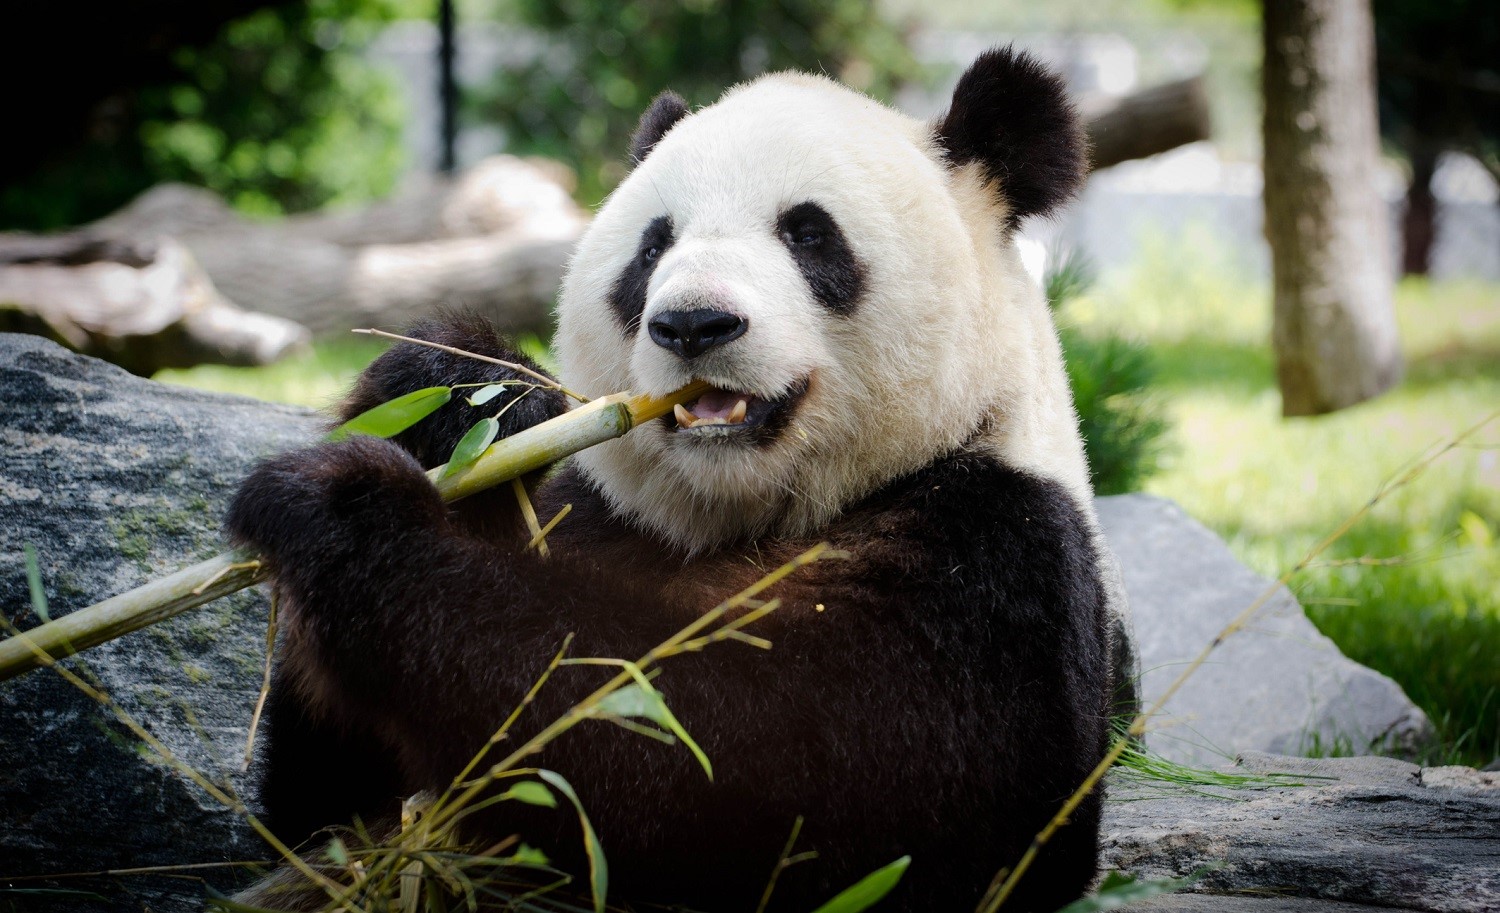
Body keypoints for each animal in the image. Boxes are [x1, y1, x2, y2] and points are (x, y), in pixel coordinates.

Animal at [228, 47, 1128, 911]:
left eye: (809, 235)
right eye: (653, 246)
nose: (694, 323)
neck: (736, 510)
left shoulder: (994, 561)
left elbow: (743, 761)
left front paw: (344, 511)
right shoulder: (598, 514)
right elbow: (316, 812)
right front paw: (455, 395)